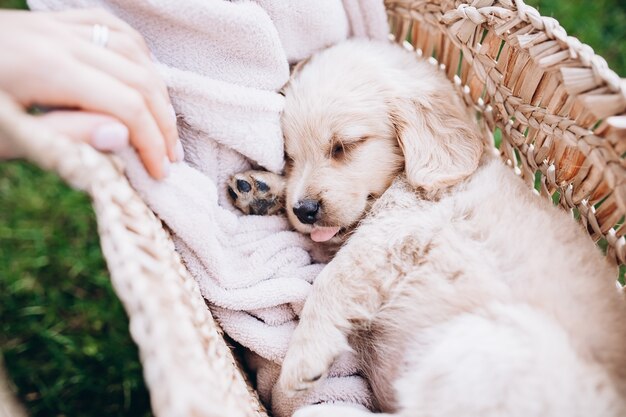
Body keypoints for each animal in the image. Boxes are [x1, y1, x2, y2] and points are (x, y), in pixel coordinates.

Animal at [227, 39, 624, 416]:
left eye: (343, 146)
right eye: (291, 157)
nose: (305, 209)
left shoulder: (391, 236)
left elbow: (331, 280)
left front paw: (301, 360)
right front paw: (263, 189)